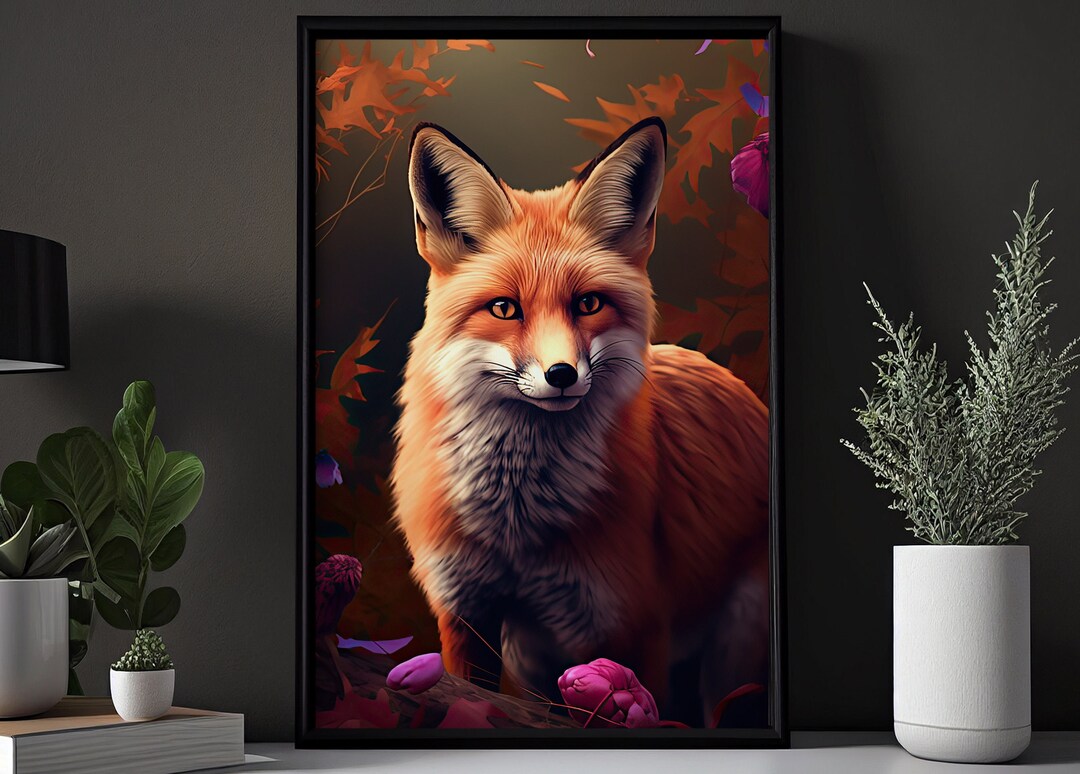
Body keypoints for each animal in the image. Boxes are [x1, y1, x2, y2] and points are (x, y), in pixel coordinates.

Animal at [390, 116, 770, 724]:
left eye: (588, 304)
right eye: (505, 309)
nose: (562, 374)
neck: (517, 530)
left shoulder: (629, 626)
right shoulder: (465, 614)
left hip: (732, 660)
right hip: (533, 662)